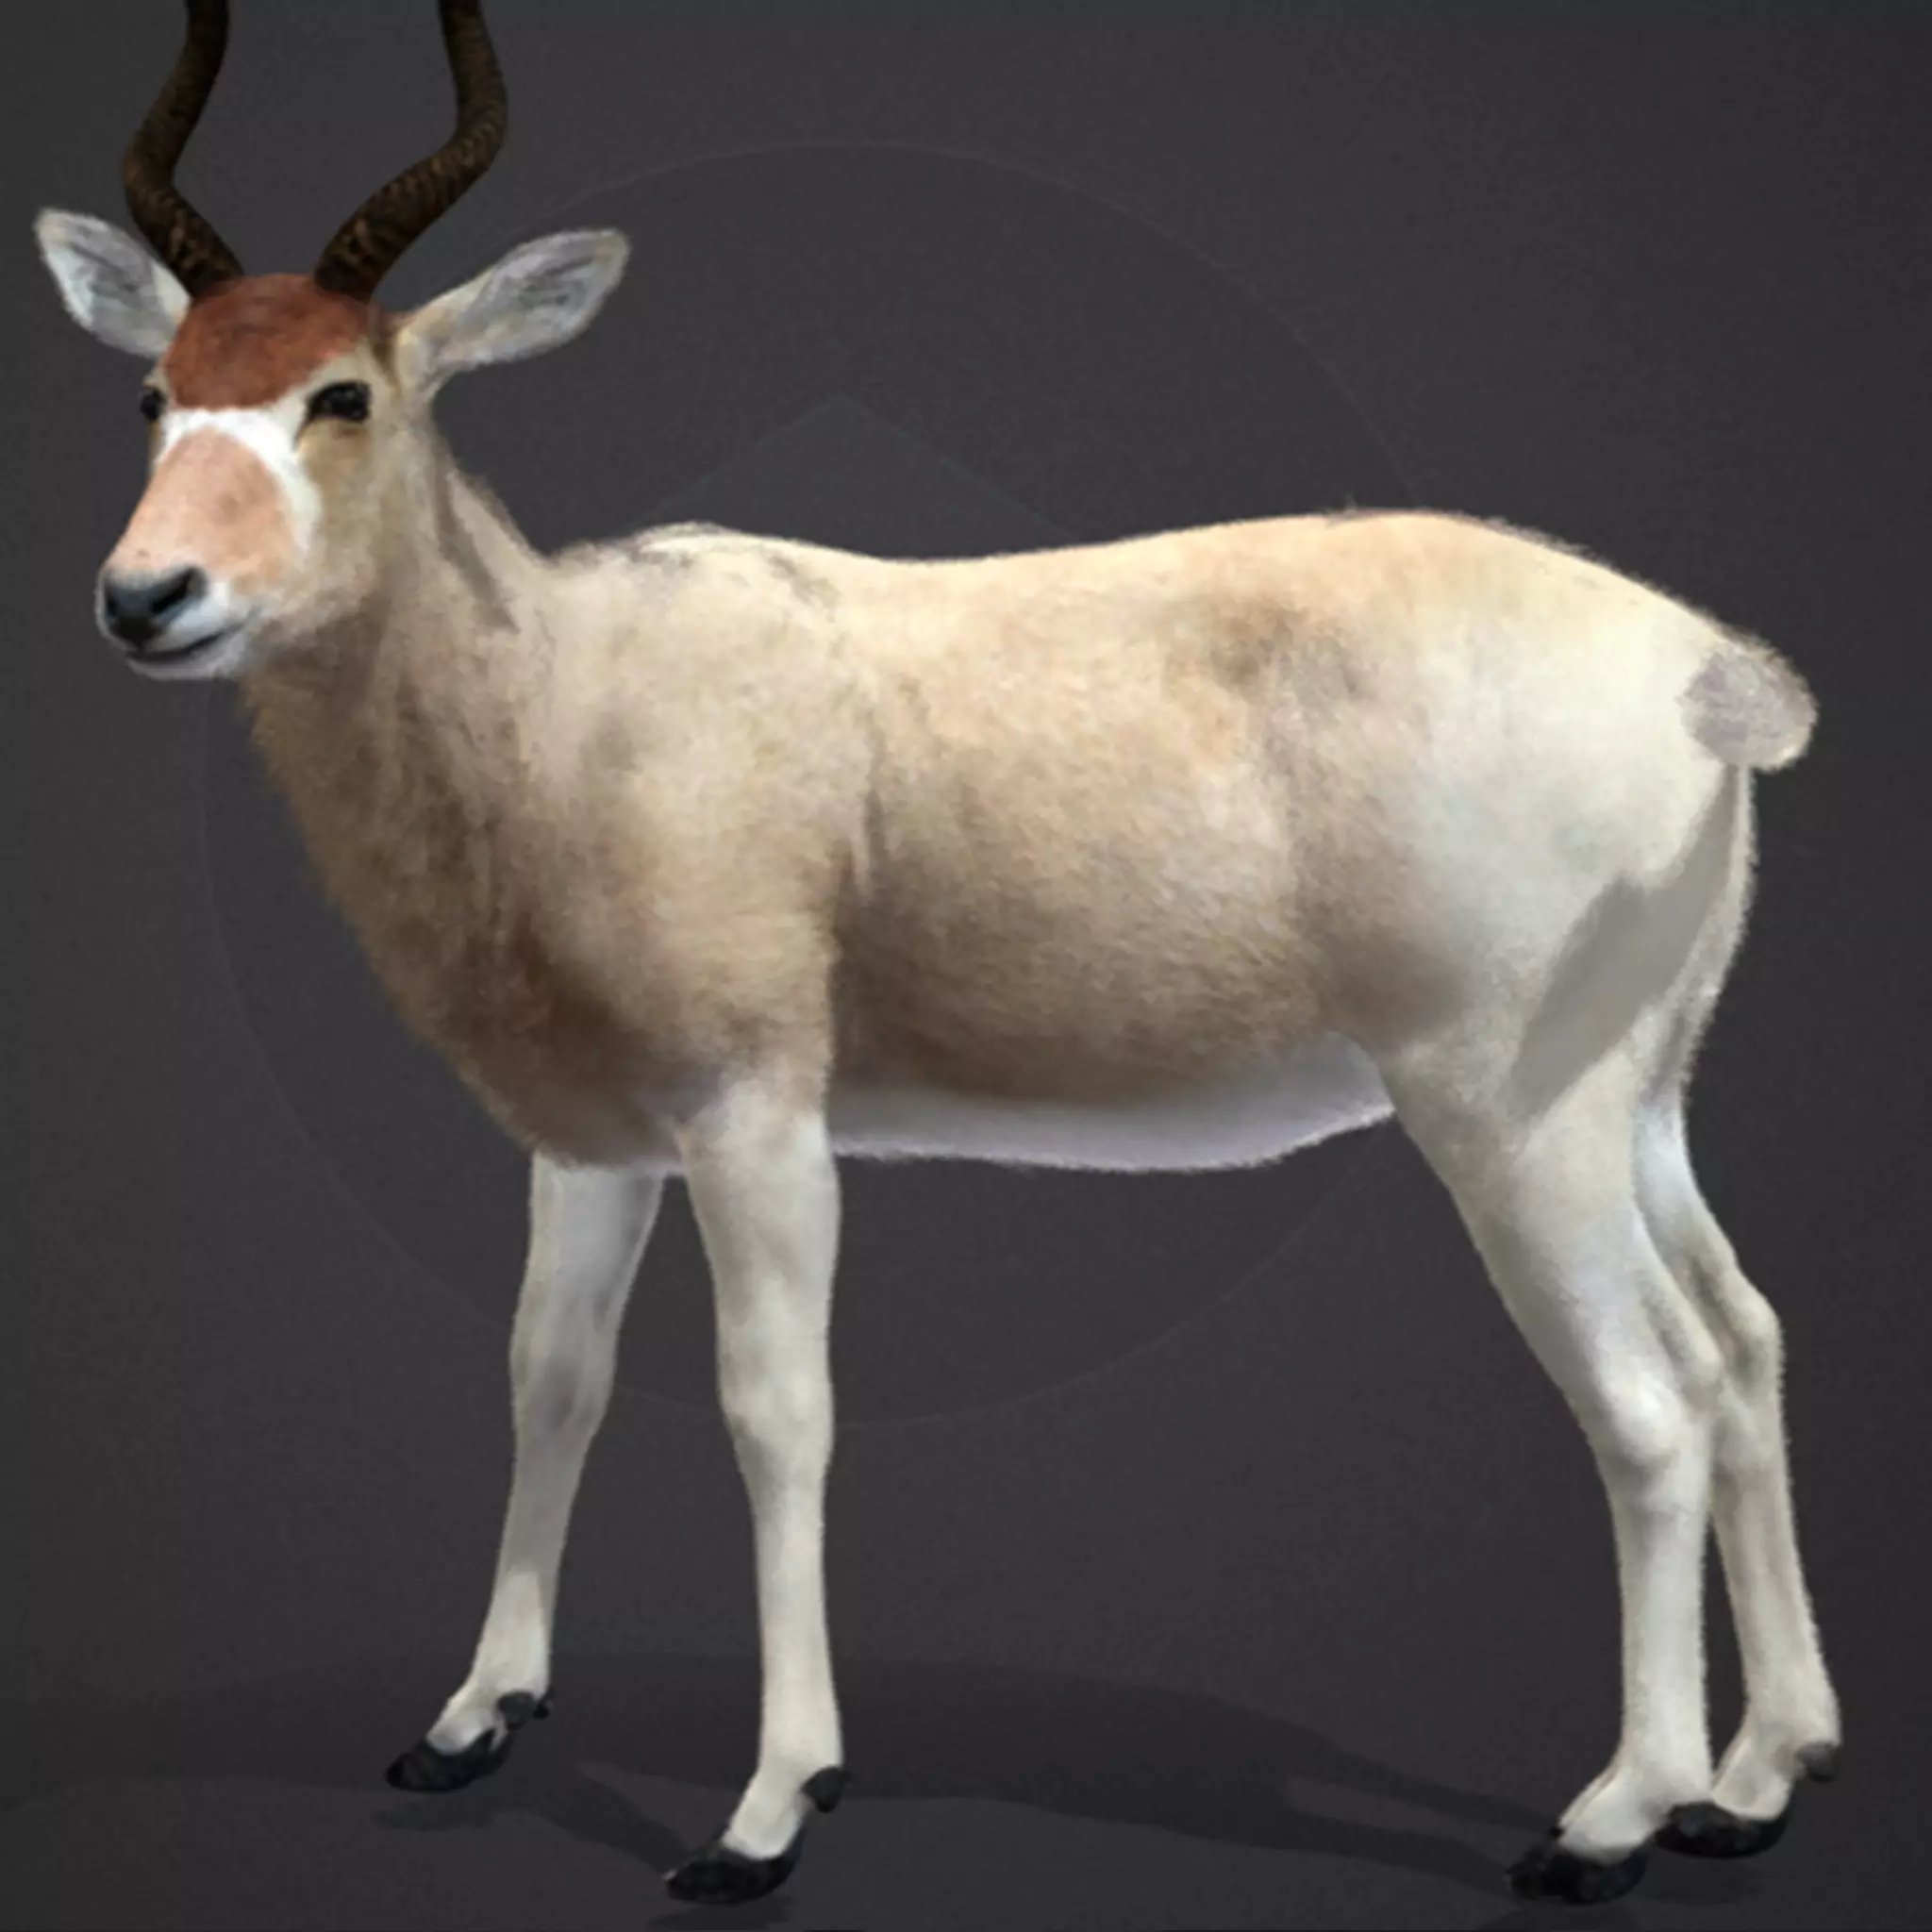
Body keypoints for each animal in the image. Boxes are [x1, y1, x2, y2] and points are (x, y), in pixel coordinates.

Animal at [35, 0, 1841, 1909]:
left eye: (344, 394)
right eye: (157, 392)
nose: (147, 597)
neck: (570, 681)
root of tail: (1706, 670)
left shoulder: (756, 1118)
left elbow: (775, 1408)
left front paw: (769, 1807)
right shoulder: (595, 1144)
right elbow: (548, 1375)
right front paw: (471, 1717)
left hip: (1506, 1118)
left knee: (1647, 1400)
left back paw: (1614, 1816)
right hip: (1632, 1102)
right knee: (1740, 1343)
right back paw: (1754, 1780)